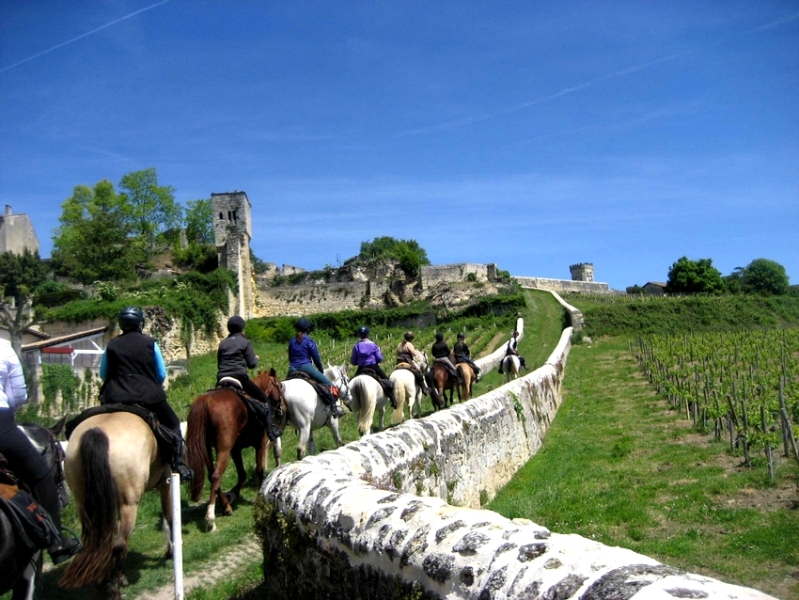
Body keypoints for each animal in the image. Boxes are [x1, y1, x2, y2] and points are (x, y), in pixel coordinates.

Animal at [184, 368, 284, 532]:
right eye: (280, 386)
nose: (282, 409)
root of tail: (204, 401)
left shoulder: (235, 449)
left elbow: (242, 474)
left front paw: (234, 493)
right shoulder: (260, 444)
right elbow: (259, 470)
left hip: (207, 449)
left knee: (212, 475)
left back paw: (226, 507)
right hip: (223, 449)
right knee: (216, 476)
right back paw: (210, 519)